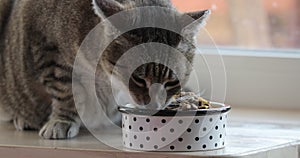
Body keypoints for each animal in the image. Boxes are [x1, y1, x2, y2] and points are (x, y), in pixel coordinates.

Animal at [0, 0, 209, 139]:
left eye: (172, 82)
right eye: (139, 79)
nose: (154, 106)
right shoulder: (48, 49)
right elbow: (65, 93)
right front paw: (61, 120)